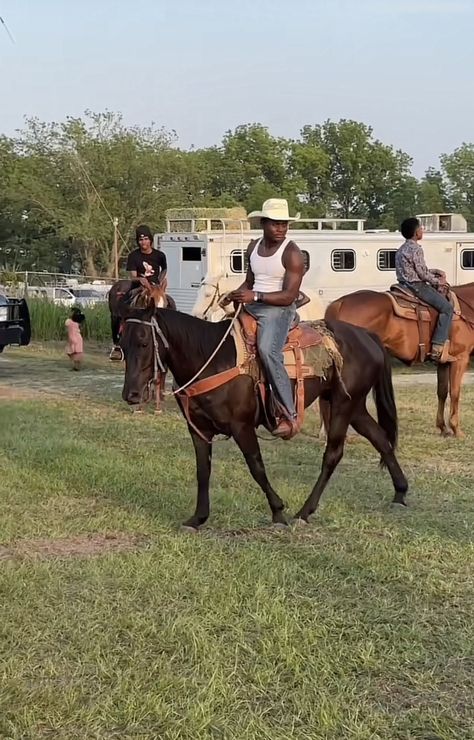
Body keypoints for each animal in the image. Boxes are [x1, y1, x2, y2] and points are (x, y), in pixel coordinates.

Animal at [117, 292, 408, 528]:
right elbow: (203, 471)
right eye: (122, 344)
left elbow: (256, 467)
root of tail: (367, 336)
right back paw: (400, 493)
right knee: (381, 439)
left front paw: (278, 512)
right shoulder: (198, 430)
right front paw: (198, 518)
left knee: (333, 454)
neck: (211, 358)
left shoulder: (242, 426)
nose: (131, 394)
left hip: (342, 406)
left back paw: (304, 512)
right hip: (354, 406)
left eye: (144, 342)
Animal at [326, 280, 474, 436]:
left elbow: (442, 392)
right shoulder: (460, 358)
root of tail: (340, 303)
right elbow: (455, 393)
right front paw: (456, 429)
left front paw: (443, 428)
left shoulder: (444, 363)